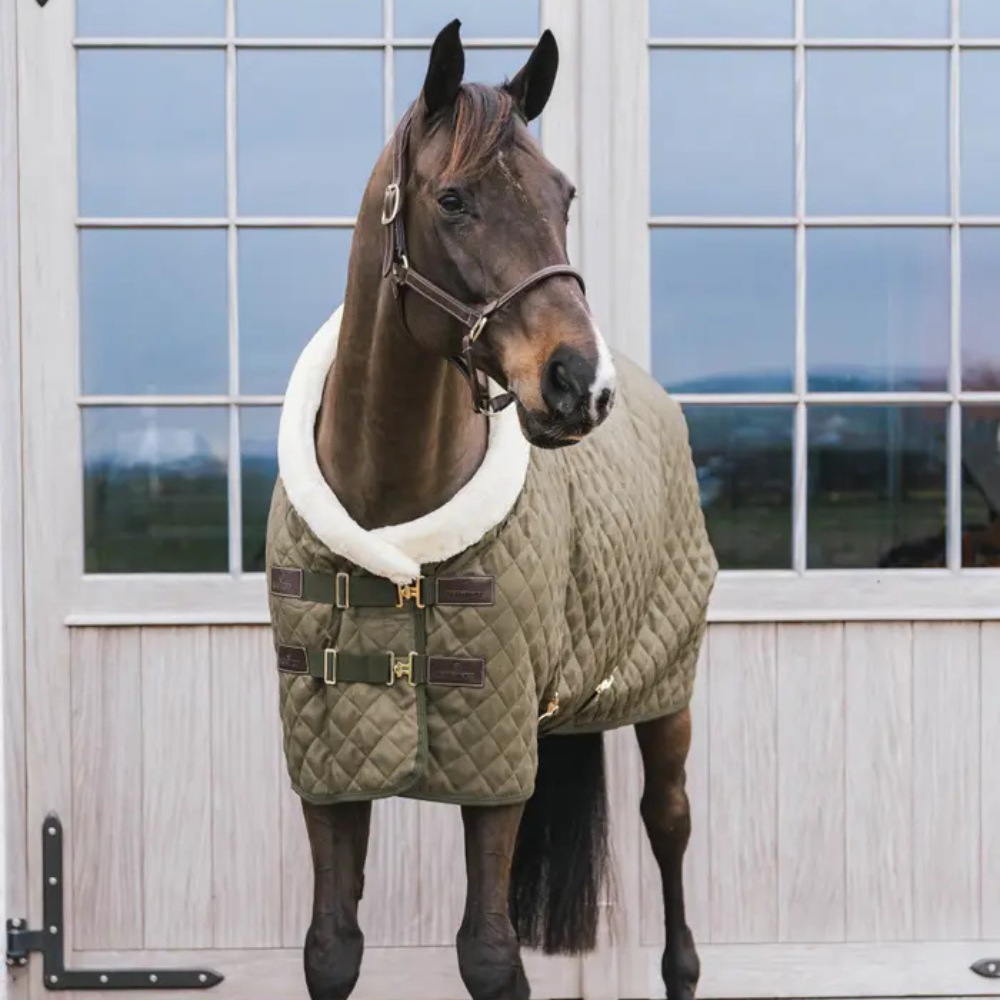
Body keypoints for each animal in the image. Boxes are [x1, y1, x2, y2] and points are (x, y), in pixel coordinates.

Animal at [264, 20, 716, 1000]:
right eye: (454, 198)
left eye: (563, 195)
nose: (580, 384)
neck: (391, 531)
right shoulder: (328, 766)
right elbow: (331, 946)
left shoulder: (495, 751)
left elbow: (490, 954)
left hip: (667, 689)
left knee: (669, 823)